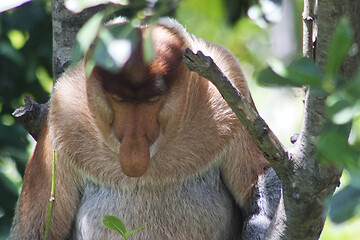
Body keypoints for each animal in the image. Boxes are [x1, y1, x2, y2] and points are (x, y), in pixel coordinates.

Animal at [9, 18, 282, 240]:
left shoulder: (230, 83)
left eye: (152, 100)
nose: (134, 144)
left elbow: (258, 187)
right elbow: (36, 229)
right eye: (120, 100)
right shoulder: (62, 113)